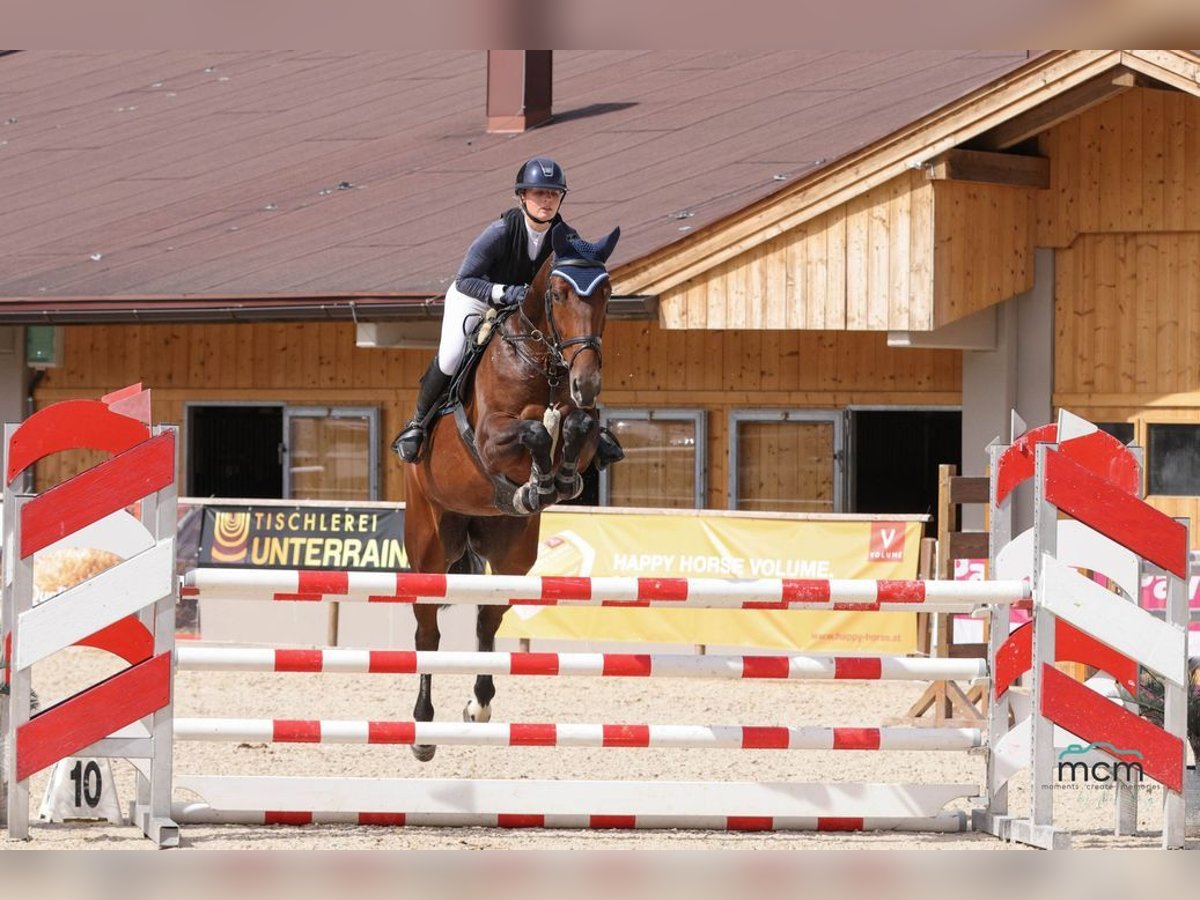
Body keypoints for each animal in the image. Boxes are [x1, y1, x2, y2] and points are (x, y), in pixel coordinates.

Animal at [408, 224, 624, 763]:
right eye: (559, 292)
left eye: (607, 292)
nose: (587, 382)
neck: (544, 362)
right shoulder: (489, 438)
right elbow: (533, 431)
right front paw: (542, 478)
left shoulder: (583, 423)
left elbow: (578, 425)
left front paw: (555, 480)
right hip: (429, 544)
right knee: (427, 630)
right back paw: (422, 729)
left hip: (513, 553)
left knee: (488, 618)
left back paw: (479, 705)